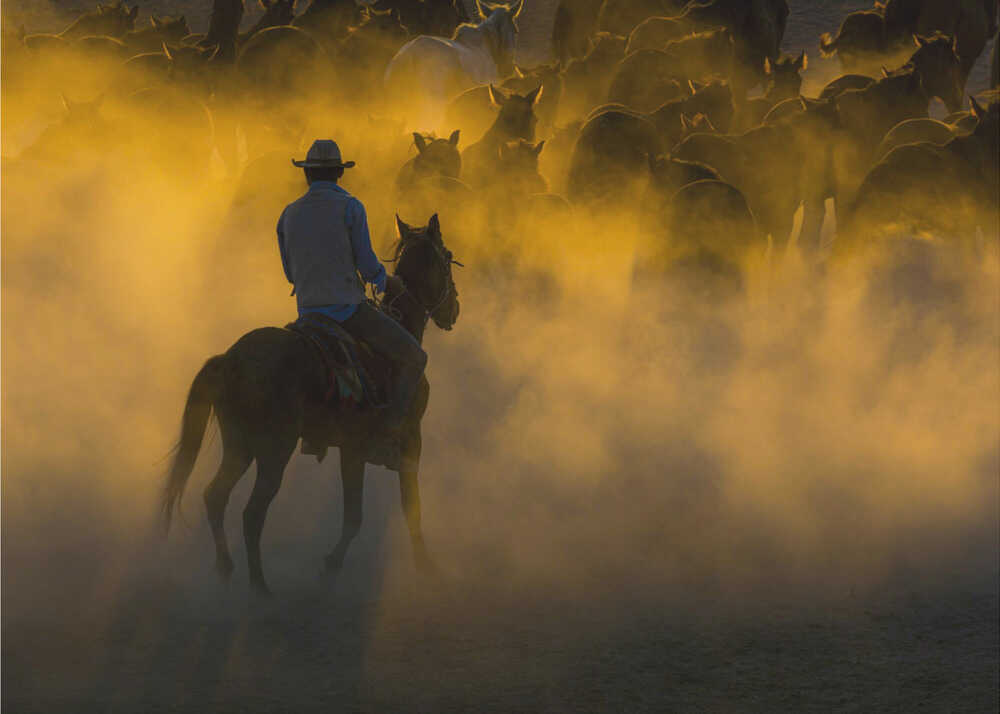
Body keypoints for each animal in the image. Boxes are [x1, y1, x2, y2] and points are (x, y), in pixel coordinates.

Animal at [163, 215, 461, 595]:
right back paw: (260, 587)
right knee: (252, 513)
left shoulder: (351, 450)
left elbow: (364, 513)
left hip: (239, 445)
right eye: (447, 256)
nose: (454, 308)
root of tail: (231, 359)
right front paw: (420, 566)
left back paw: (225, 568)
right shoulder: (402, 442)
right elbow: (394, 510)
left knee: (215, 496)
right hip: (275, 450)